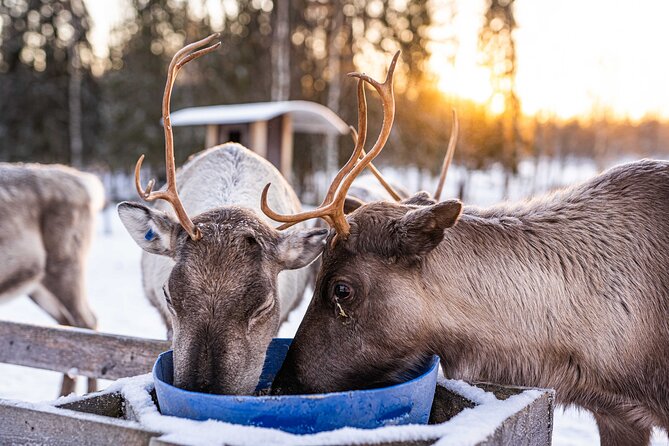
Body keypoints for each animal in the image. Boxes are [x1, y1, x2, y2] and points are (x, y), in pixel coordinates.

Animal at [0, 162, 103, 396]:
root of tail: (88, 184)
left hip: (66, 267)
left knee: (87, 322)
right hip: (38, 285)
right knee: (66, 326)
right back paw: (63, 397)